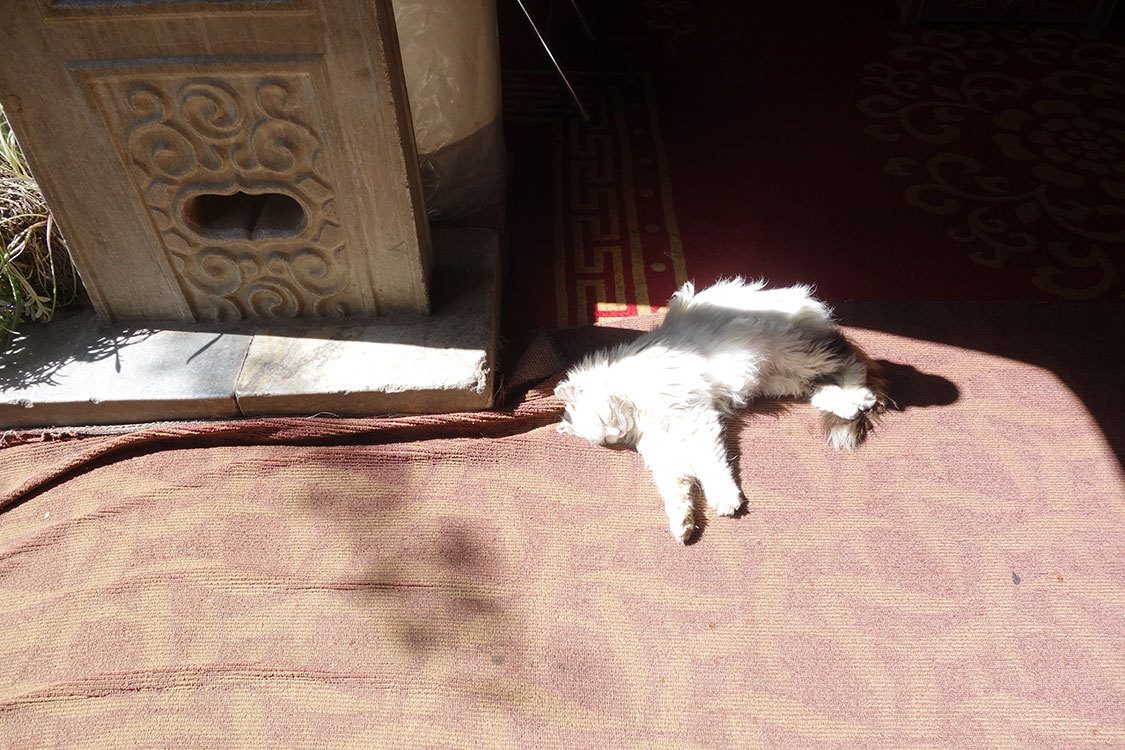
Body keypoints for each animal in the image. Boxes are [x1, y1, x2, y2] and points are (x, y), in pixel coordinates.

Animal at [555, 278, 889, 543]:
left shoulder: (694, 418)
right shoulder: (663, 448)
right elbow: (675, 489)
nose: (619, 432)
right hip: (782, 378)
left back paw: (860, 396)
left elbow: (710, 467)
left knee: (851, 360)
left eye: (605, 421)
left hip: (792, 354)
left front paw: (725, 500)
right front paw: (682, 525)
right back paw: (848, 406)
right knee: (823, 388)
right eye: (607, 440)